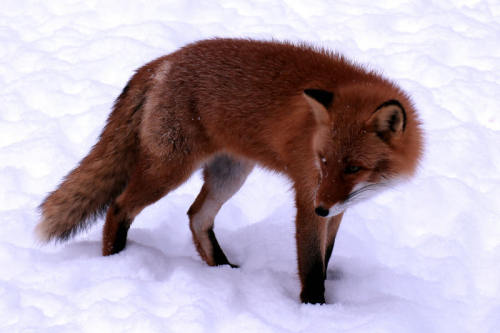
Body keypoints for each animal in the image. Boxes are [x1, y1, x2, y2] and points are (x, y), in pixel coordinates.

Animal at [38, 37, 422, 302]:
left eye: (354, 167)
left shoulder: (337, 205)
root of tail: (162, 61)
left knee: (196, 216)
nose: (321, 208)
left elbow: (325, 257)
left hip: (230, 174)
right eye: (323, 160)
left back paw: (221, 269)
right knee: (118, 207)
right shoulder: (307, 193)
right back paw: (115, 261)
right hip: (171, 169)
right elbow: (312, 265)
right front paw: (315, 309)